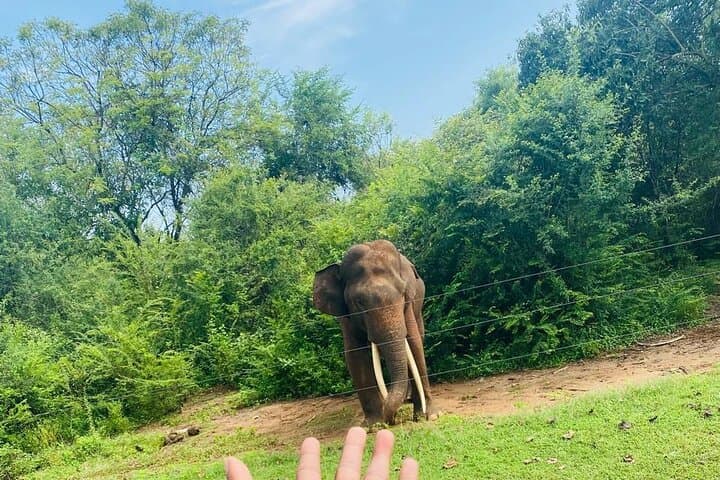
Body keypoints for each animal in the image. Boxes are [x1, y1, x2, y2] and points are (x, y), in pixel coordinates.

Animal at [313, 240, 436, 425]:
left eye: (403, 293)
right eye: (359, 302)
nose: (392, 420)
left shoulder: (408, 304)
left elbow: (414, 344)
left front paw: (428, 415)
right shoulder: (345, 316)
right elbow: (355, 354)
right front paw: (374, 424)